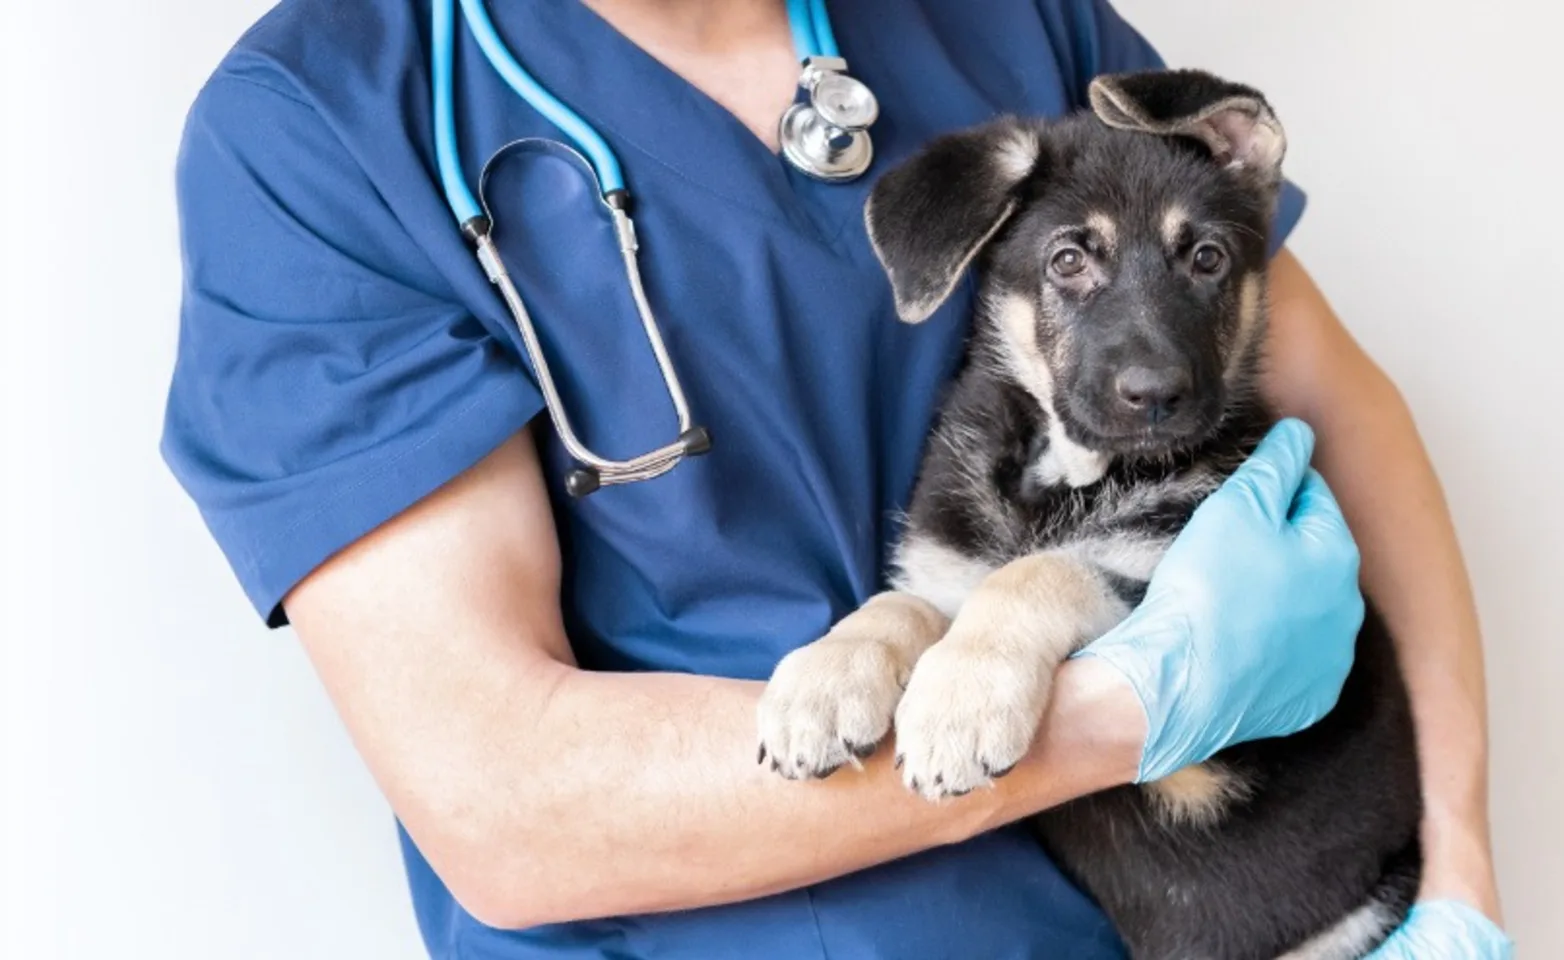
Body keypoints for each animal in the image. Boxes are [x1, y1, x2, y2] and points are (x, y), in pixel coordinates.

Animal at [756, 69, 1432, 960]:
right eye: (1069, 260)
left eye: (1207, 258)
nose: (1156, 396)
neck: (1061, 478)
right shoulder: (948, 564)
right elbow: (900, 603)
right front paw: (825, 682)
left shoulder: (1159, 575)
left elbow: (1042, 573)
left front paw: (959, 700)